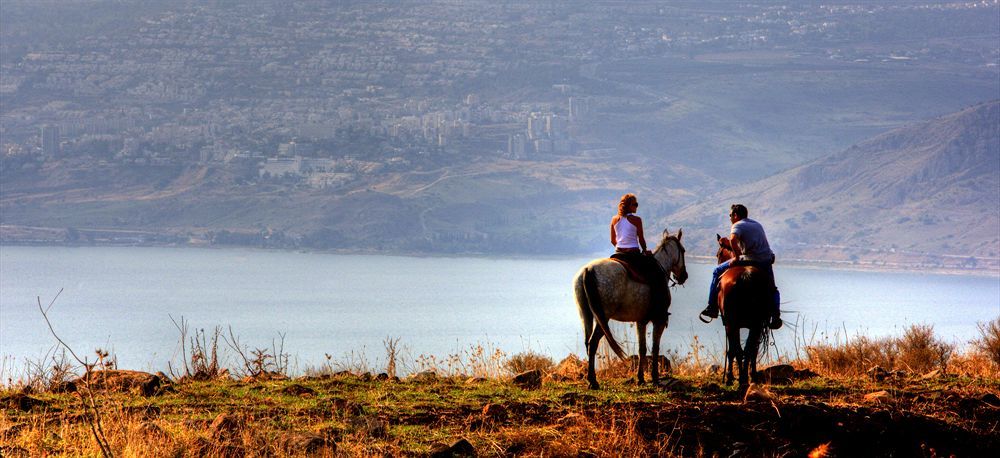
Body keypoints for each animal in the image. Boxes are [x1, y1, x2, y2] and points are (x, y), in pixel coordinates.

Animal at [572, 227, 688, 388]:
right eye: (683, 250)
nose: (684, 276)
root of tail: (588, 270)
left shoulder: (641, 321)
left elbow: (642, 348)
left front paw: (641, 378)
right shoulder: (658, 320)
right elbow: (655, 347)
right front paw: (655, 377)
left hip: (586, 316)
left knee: (589, 343)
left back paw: (591, 379)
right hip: (603, 317)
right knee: (593, 343)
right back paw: (593, 381)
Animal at [720, 234, 772, 388]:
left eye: (719, 254)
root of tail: (745, 275)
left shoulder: (728, 324)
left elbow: (731, 350)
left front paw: (730, 377)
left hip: (733, 323)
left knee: (739, 349)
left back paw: (741, 379)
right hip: (756, 324)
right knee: (750, 350)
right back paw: (749, 378)